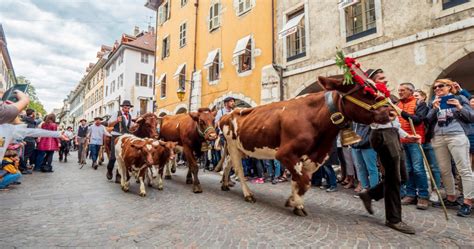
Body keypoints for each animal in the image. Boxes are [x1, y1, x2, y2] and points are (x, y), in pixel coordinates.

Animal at [218, 76, 392, 216]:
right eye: (365, 92)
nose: (391, 112)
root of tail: (228, 113)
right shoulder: (285, 154)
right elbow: (304, 181)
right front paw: (294, 202)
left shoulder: (315, 157)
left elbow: (300, 181)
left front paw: (295, 202)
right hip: (233, 146)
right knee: (238, 170)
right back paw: (248, 194)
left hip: (240, 148)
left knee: (227, 164)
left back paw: (225, 184)